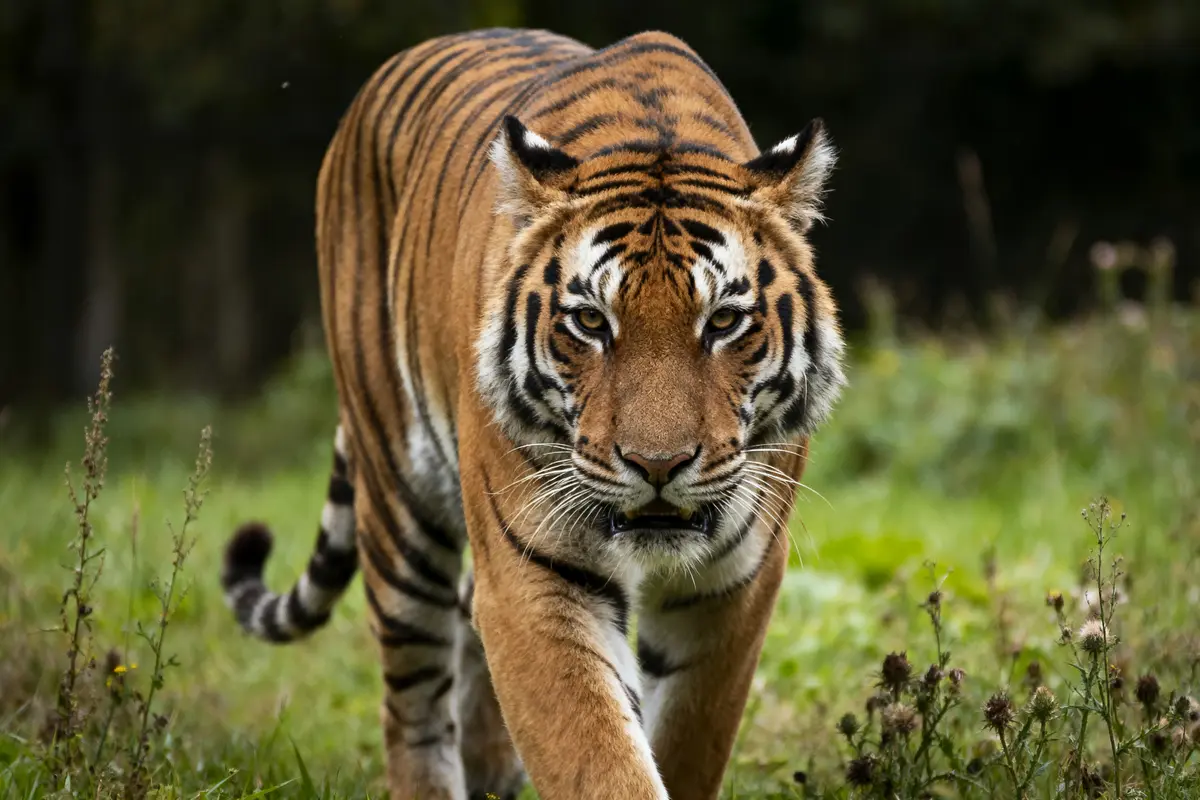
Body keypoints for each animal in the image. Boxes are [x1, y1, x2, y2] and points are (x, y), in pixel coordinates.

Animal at [220, 26, 846, 800]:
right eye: (590, 321)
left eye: (724, 321)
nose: (658, 465)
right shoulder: (534, 574)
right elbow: (598, 756)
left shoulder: (733, 584)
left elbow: (685, 741)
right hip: (398, 497)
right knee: (412, 703)